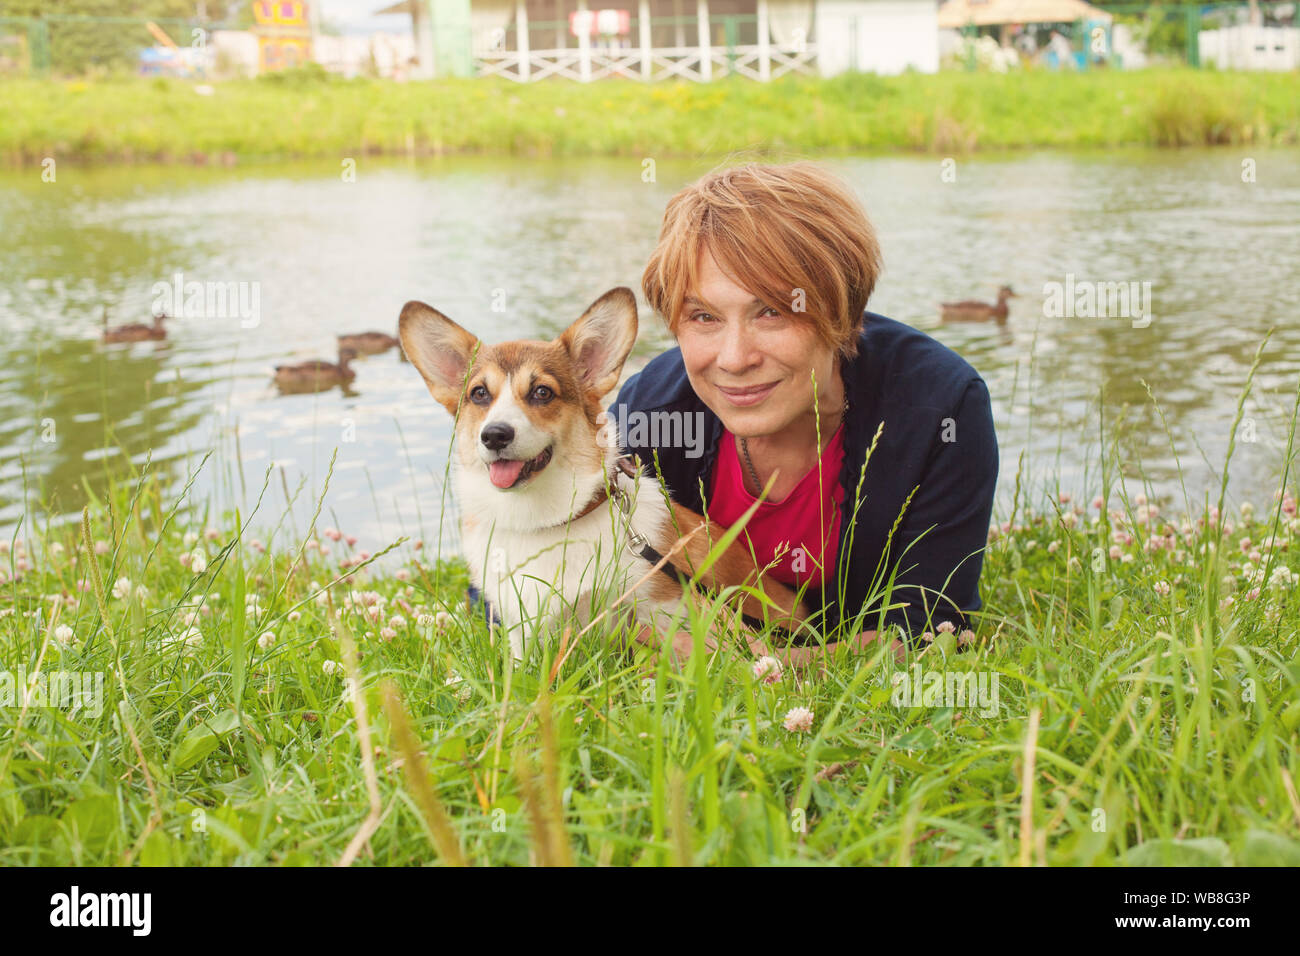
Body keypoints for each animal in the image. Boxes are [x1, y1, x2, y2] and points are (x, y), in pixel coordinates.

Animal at [395, 283, 806, 658]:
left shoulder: (662, 605)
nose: (495, 434)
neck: (544, 522)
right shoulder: (521, 629)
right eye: (479, 394)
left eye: (542, 392)